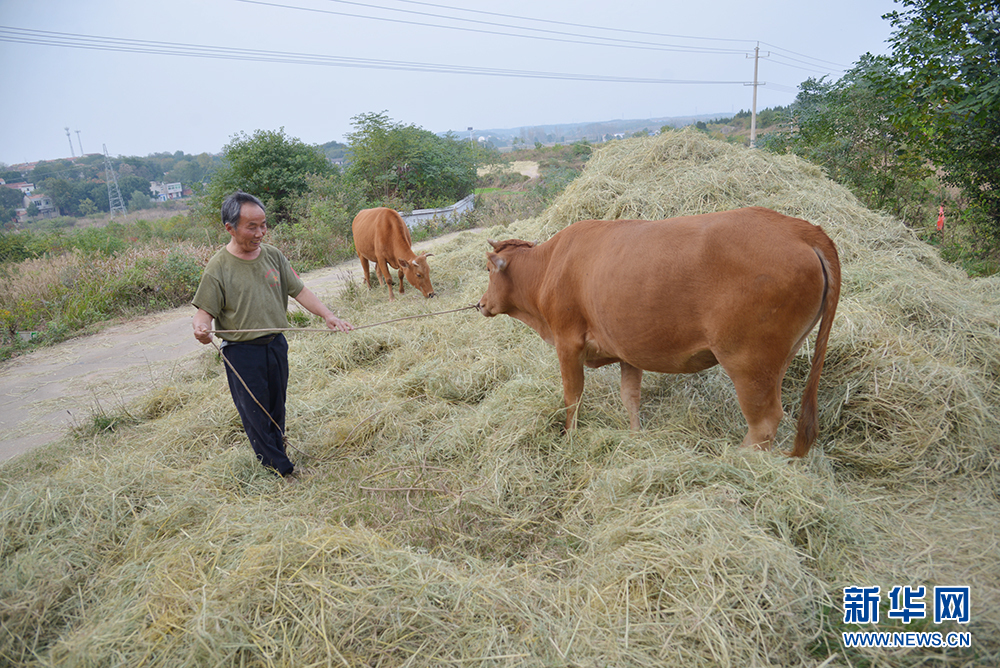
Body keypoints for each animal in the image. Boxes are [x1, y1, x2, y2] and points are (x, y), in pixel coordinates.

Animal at [480, 207, 840, 460]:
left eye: (487, 270)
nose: (481, 303)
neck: (549, 268)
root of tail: (799, 228)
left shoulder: (567, 343)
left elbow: (573, 396)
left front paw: (569, 437)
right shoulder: (627, 349)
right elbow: (630, 397)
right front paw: (635, 436)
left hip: (749, 361)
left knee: (763, 423)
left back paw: (736, 462)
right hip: (780, 358)